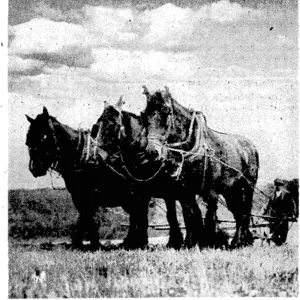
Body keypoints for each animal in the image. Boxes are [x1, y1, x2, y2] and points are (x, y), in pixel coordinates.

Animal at [24, 106, 152, 250]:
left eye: (44, 137)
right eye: (28, 139)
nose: (34, 168)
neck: (82, 157)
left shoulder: (90, 195)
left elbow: (88, 218)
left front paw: (95, 245)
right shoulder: (78, 196)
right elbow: (83, 218)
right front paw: (78, 243)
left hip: (137, 196)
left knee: (140, 216)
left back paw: (138, 243)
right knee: (137, 216)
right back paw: (133, 242)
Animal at [91, 98, 204, 248]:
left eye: (112, 125)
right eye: (97, 125)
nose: (97, 155)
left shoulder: (159, 192)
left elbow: (158, 215)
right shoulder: (140, 190)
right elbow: (139, 215)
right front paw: (136, 241)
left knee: (193, 212)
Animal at [142, 85, 258, 247]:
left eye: (166, 112)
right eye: (144, 115)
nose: (152, 151)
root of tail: (251, 146)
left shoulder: (210, 192)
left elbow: (210, 216)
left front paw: (209, 242)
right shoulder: (185, 192)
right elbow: (191, 215)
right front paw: (192, 243)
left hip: (247, 188)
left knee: (244, 212)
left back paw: (239, 242)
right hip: (230, 191)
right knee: (238, 212)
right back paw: (241, 240)